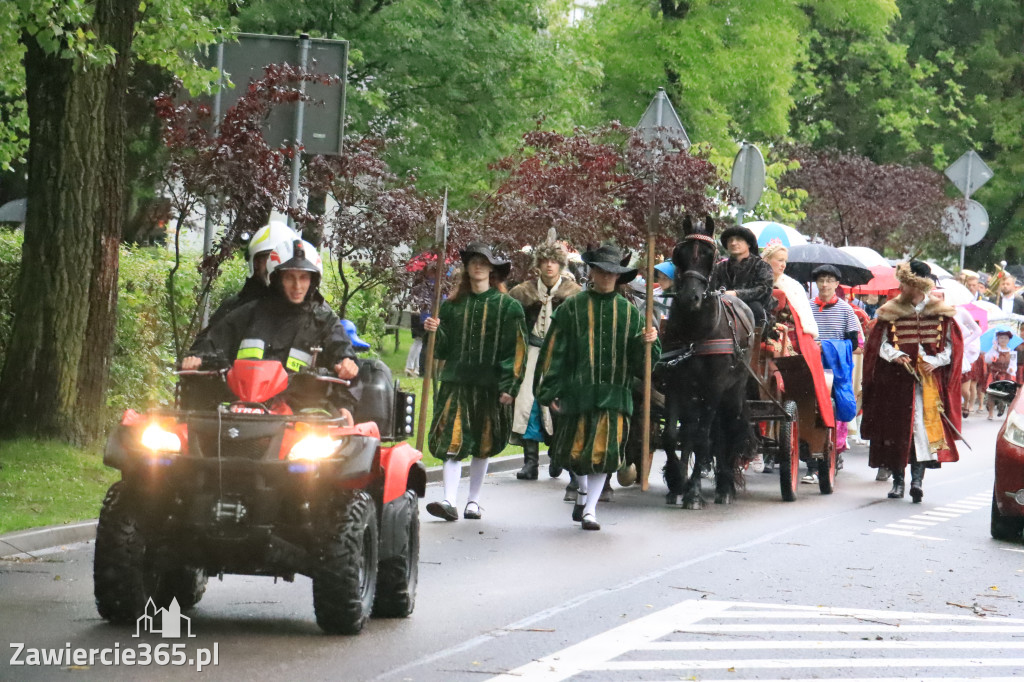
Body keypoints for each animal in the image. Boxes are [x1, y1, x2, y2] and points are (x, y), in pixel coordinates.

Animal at [659, 215, 757, 507]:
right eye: (679, 254)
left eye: (709, 254)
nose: (690, 297)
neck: (696, 333)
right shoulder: (676, 384)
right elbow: (672, 436)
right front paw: (677, 481)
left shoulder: (715, 387)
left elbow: (703, 439)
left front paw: (693, 492)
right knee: (696, 431)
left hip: (731, 392)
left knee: (725, 429)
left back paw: (725, 486)